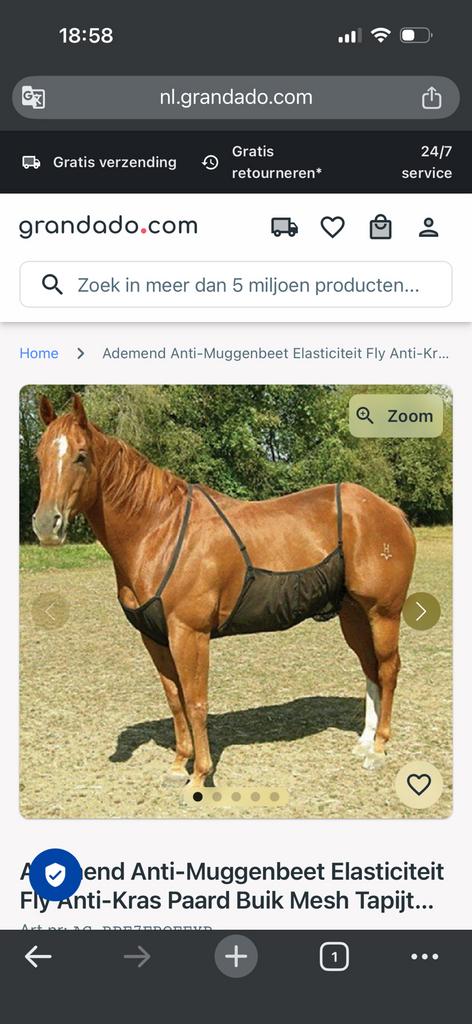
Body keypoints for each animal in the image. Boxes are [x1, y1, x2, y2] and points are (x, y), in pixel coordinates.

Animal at [33, 394, 416, 790]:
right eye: (39, 456)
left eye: (81, 455)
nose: (46, 526)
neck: (160, 531)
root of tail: (391, 511)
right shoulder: (155, 637)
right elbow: (175, 700)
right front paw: (178, 765)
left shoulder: (190, 634)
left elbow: (196, 701)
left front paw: (200, 775)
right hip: (353, 614)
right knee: (370, 668)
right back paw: (365, 741)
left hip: (383, 613)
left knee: (388, 669)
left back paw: (379, 748)